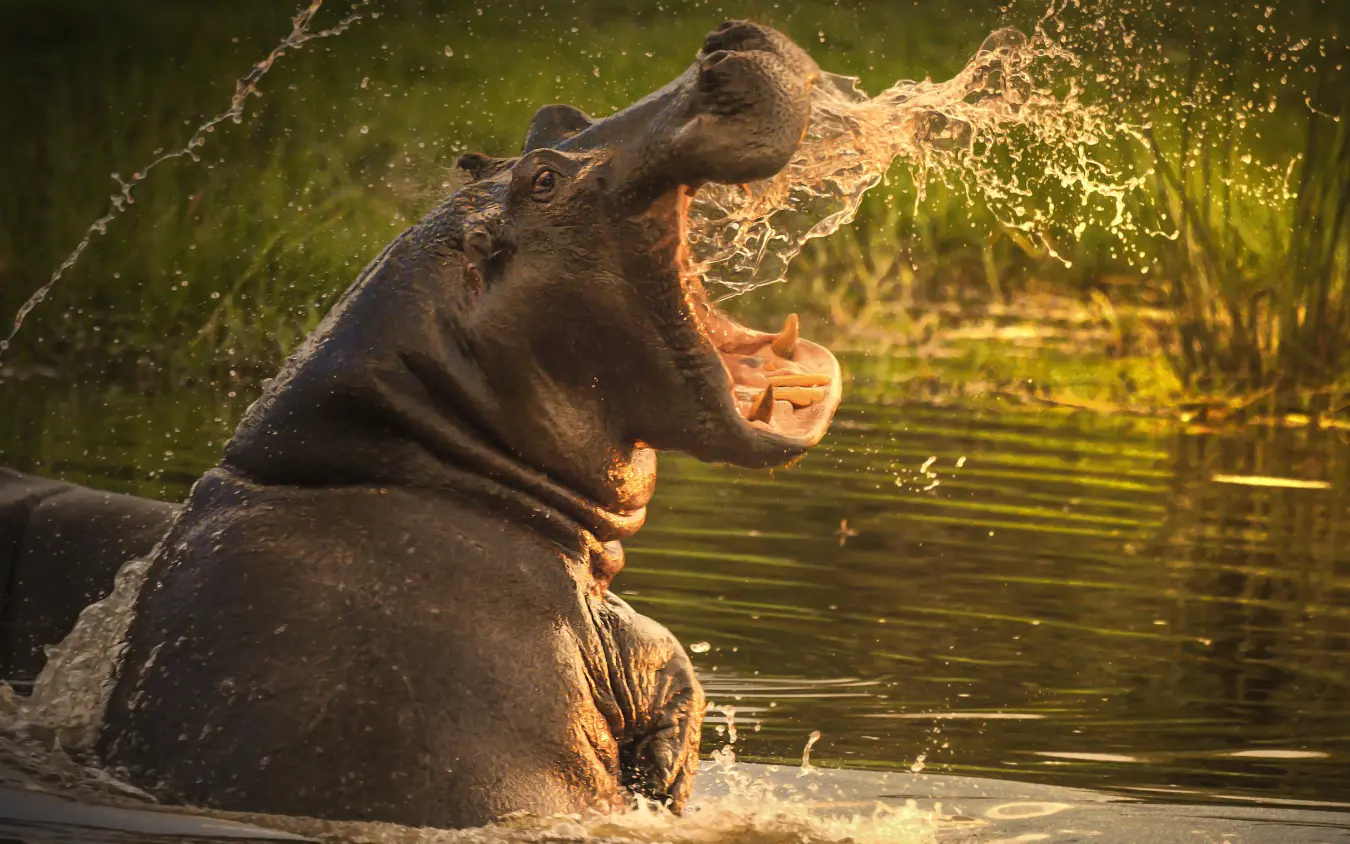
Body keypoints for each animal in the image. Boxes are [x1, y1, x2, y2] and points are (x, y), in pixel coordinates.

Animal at [0, 21, 842, 829]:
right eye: (545, 179)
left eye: (554, 118)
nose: (723, 43)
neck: (419, 457)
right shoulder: (616, 646)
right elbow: (671, 667)